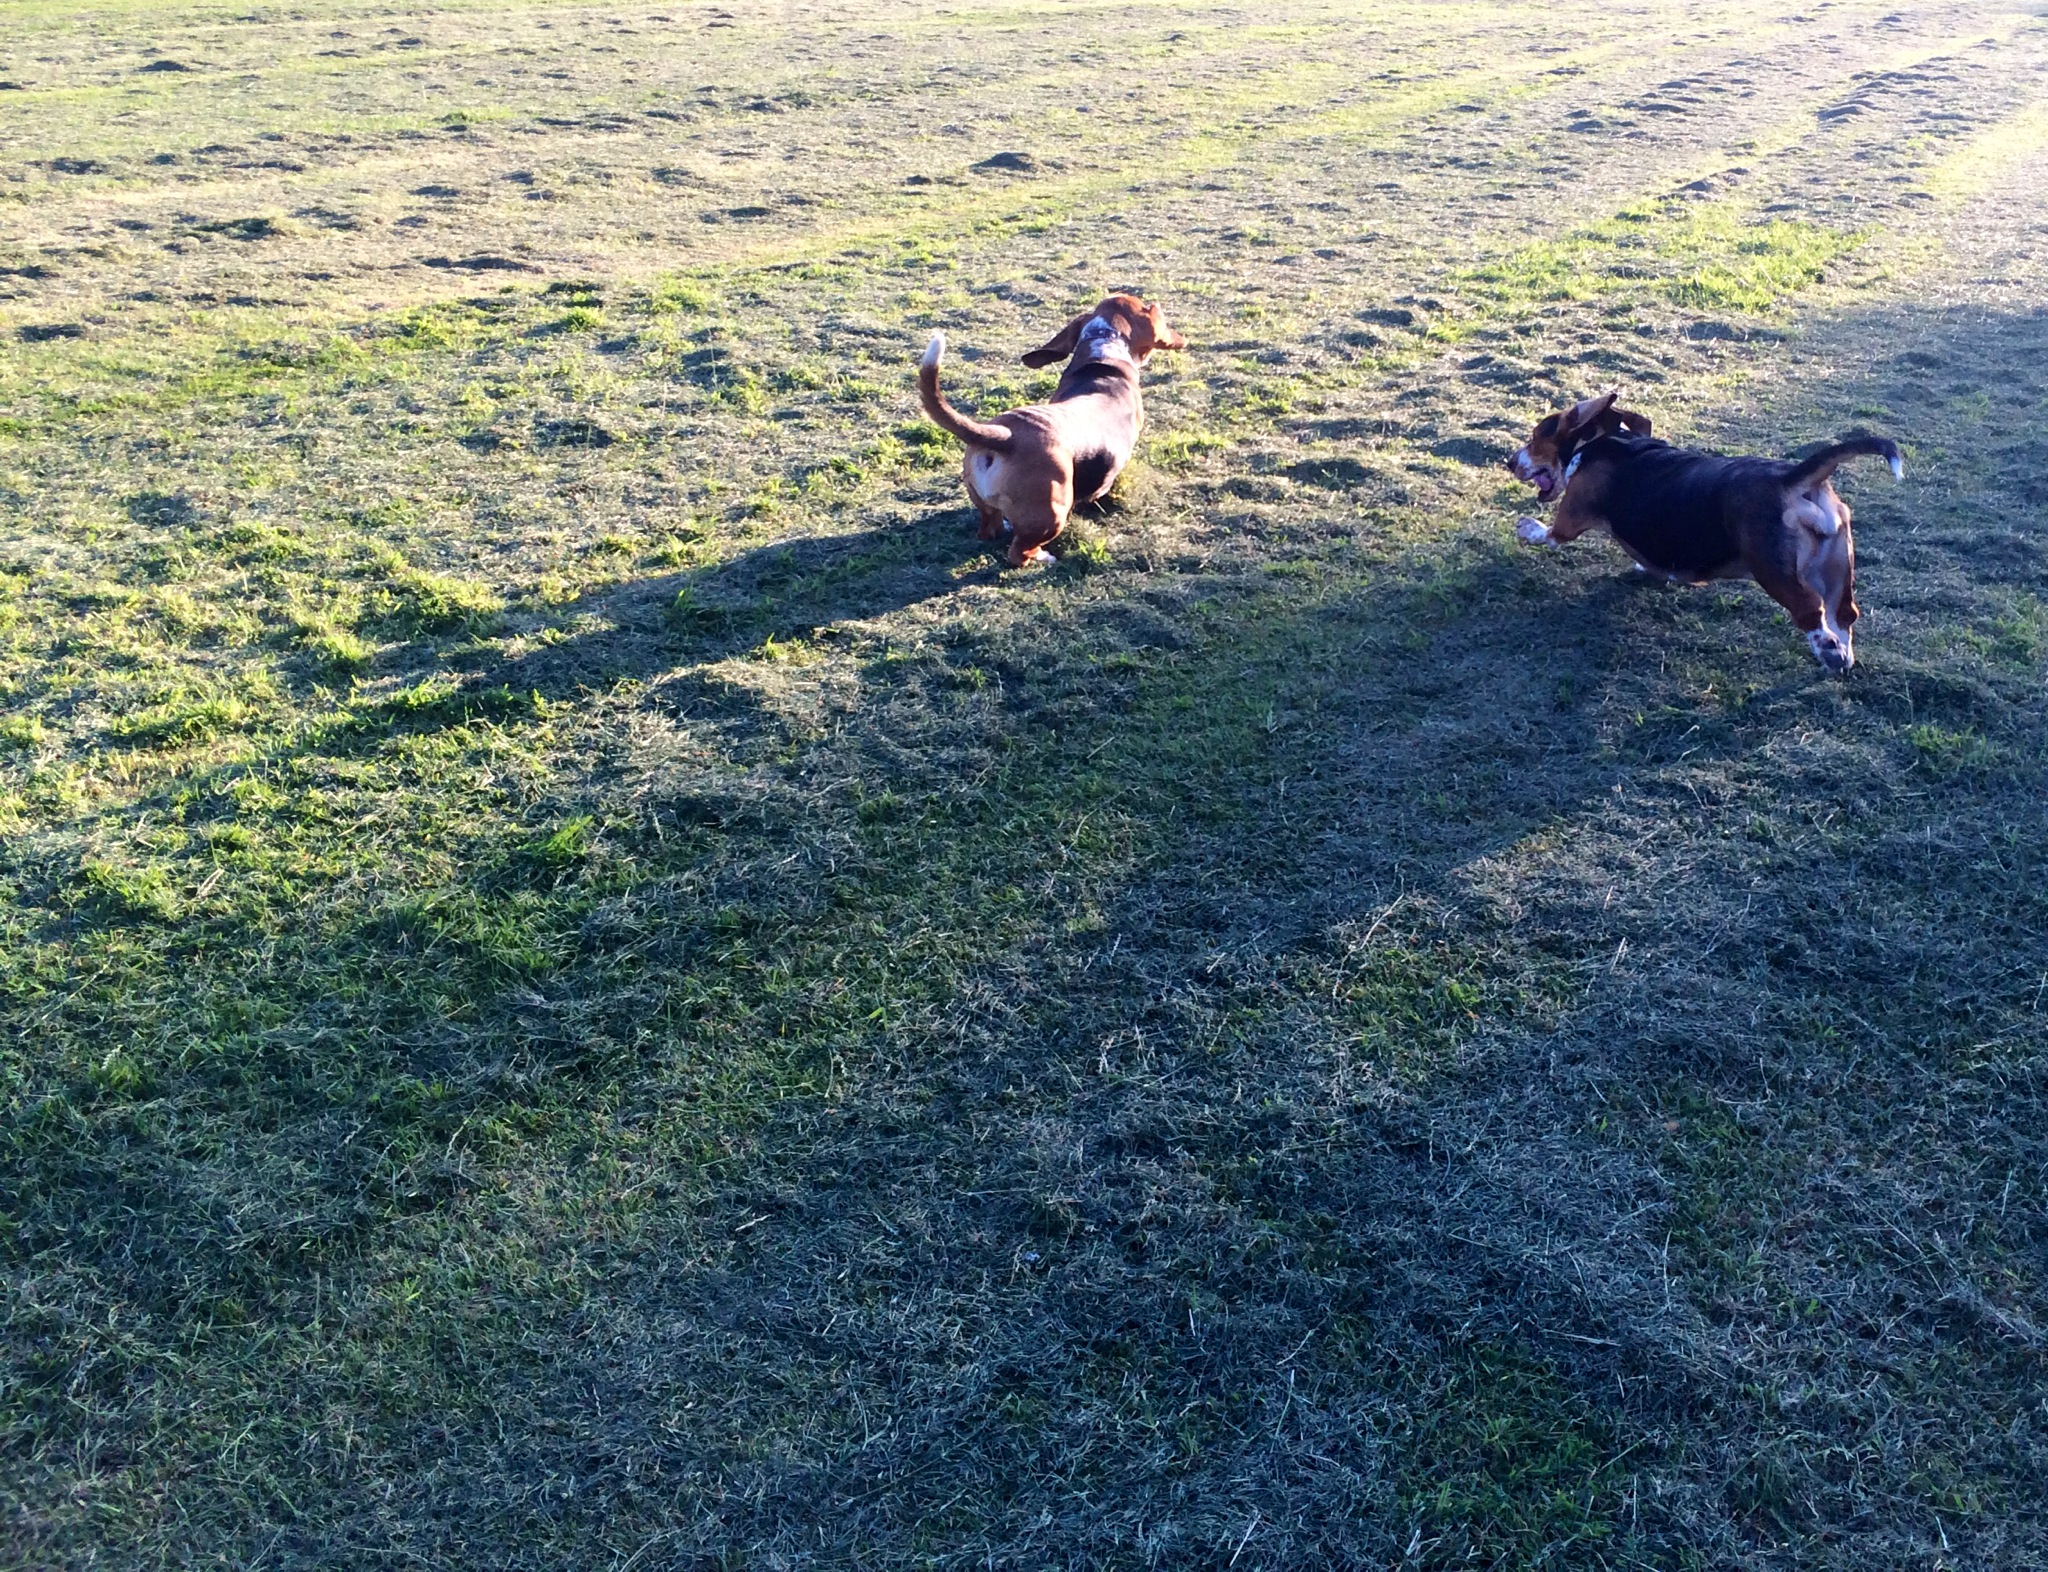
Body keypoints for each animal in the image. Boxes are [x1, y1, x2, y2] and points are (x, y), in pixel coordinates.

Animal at [917, 294, 1185, 566]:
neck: (1103, 347)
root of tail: (1004, 436)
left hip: (986, 505)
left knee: (990, 529)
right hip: (1053, 513)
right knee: (1019, 552)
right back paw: (1044, 557)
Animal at [1509, 391, 1902, 672]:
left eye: (1534, 438)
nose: (1510, 461)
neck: (1600, 441)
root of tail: (1792, 480)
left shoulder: (1570, 517)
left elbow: (1551, 535)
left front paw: (1528, 527)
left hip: (1774, 572)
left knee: (1811, 611)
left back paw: (1829, 651)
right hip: (1837, 565)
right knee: (1845, 613)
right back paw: (1843, 654)